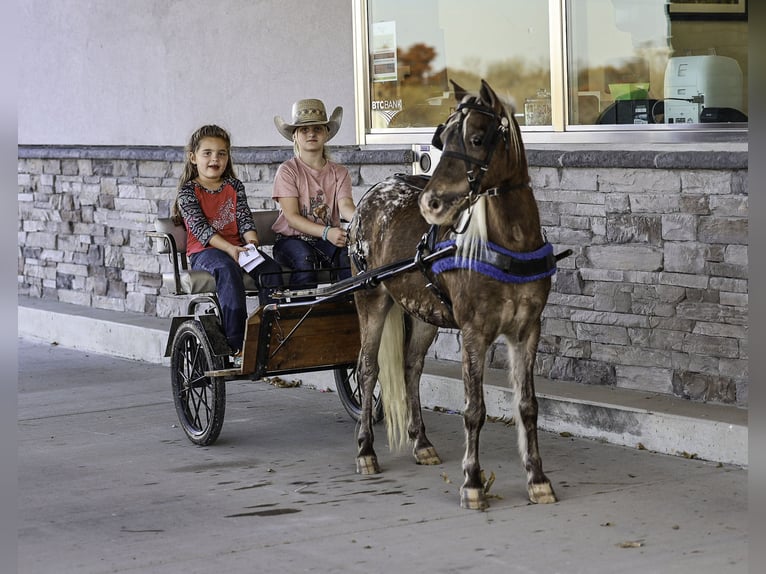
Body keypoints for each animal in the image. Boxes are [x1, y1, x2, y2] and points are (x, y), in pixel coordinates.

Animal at [347, 79, 563, 510]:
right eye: (442, 139)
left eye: (477, 138)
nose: (430, 203)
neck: (509, 244)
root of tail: (372, 194)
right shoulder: (475, 333)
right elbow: (474, 409)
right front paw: (473, 482)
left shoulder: (528, 330)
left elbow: (528, 406)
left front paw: (537, 479)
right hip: (371, 301)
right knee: (367, 370)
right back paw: (365, 450)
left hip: (423, 313)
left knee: (411, 367)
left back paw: (421, 443)